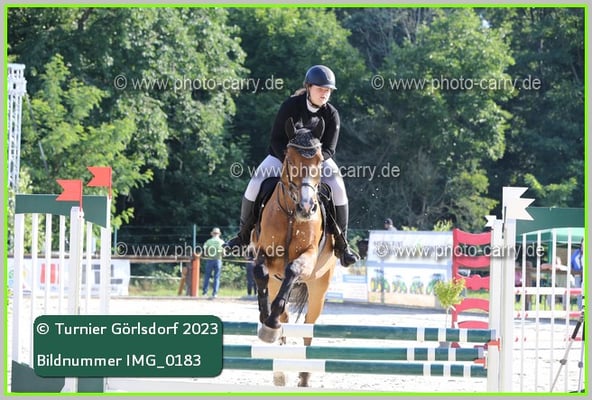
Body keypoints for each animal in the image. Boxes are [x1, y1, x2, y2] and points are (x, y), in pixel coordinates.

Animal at [250, 117, 337, 387]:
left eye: (319, 160)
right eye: (289, 159)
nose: (306, 208)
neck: (290, 214)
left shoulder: (307, 259)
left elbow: (293, 268)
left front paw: (270, 320)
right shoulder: (265, 254)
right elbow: (260, 272)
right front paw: (267, 320)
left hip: (319, 286)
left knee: (309, 324)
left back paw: (305, 375)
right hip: (279, 282)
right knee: (287, 316)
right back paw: (279, 370)